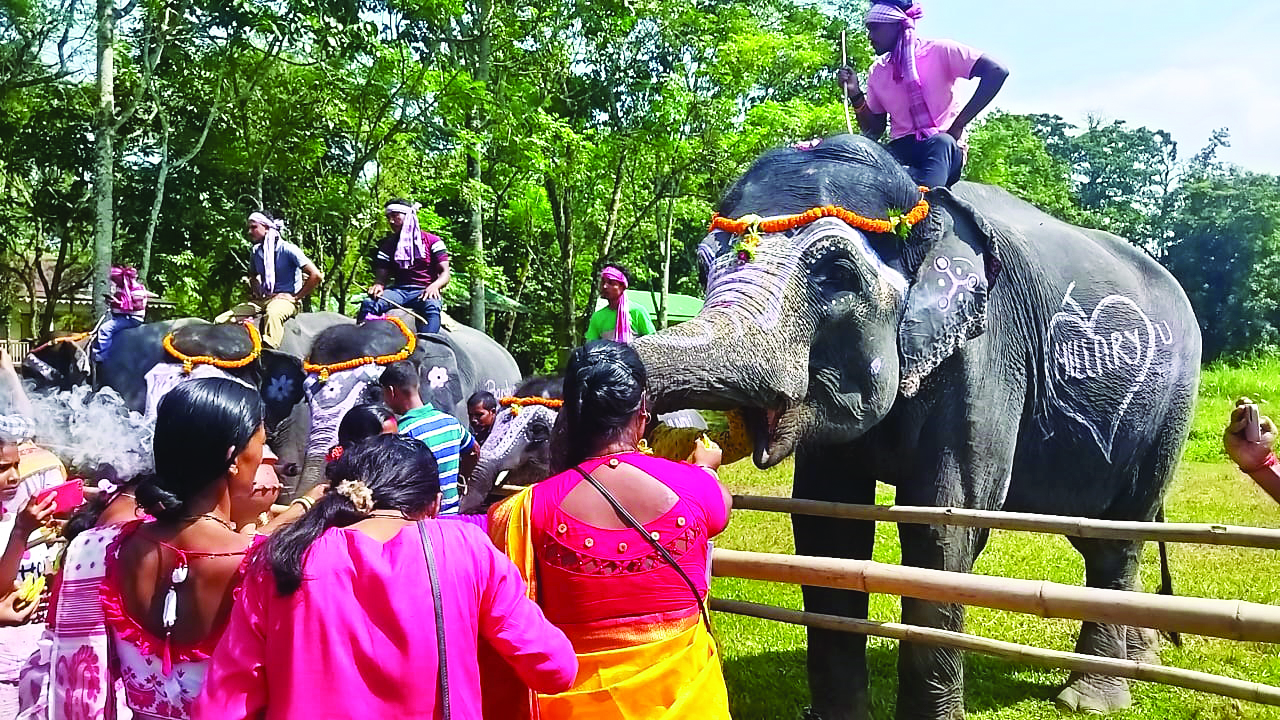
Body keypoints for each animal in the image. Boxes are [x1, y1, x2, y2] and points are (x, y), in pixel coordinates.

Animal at [632, 134, 1201, 720]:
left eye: (836, 273)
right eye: (702, 269)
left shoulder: (988, 350)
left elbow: (942, 524)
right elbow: (827, 525)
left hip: (1172, 406)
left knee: (1118, 537)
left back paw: (1090, 698)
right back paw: (1142, 658)